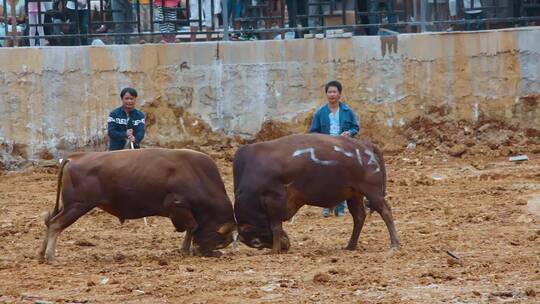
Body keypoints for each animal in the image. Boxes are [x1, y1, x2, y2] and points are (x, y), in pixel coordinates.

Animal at [39, 148, 237, 262]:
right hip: (77, 206)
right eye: (220, 241)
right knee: (56, 224)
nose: (209, 253)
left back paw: (41, 255)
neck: (195, 173)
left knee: (50, 222)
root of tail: (74, 158)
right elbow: (193, 226)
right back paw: (51, 257)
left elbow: (191, 228)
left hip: (68, 206)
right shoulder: (179, 207)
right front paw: (186, 250)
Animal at [233, 134, 400, 253]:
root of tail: (366, 145)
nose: (286, 246)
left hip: (372, 192)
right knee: (359, 217)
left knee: (385, 211)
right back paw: (350, 246)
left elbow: (276, 227)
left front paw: (274, 250)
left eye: (255, 242)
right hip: (354, 194)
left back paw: (395, 243)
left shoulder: (274, 200)